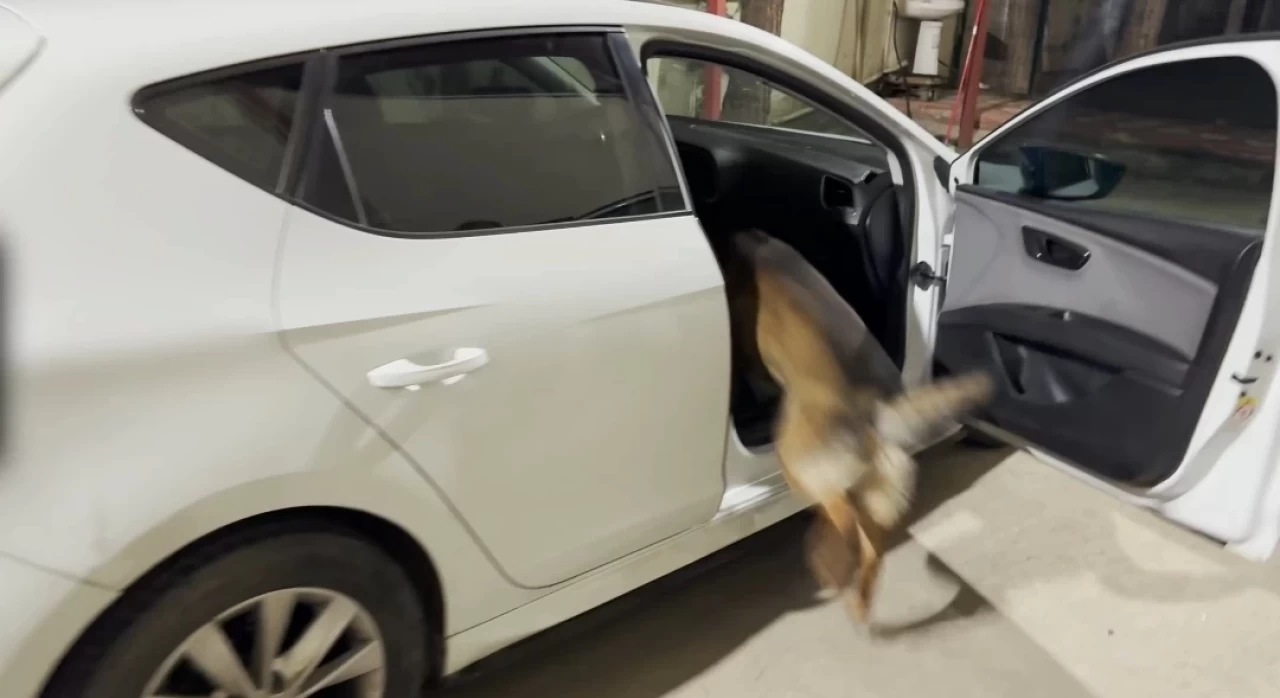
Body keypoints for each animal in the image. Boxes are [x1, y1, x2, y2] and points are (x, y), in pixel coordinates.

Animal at [723, 229, 992, 624]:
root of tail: (870, 413)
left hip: (798, 463)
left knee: (842, 522)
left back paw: (824, 557)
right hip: (872, 491)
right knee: (872, 550)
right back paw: (858, 600)